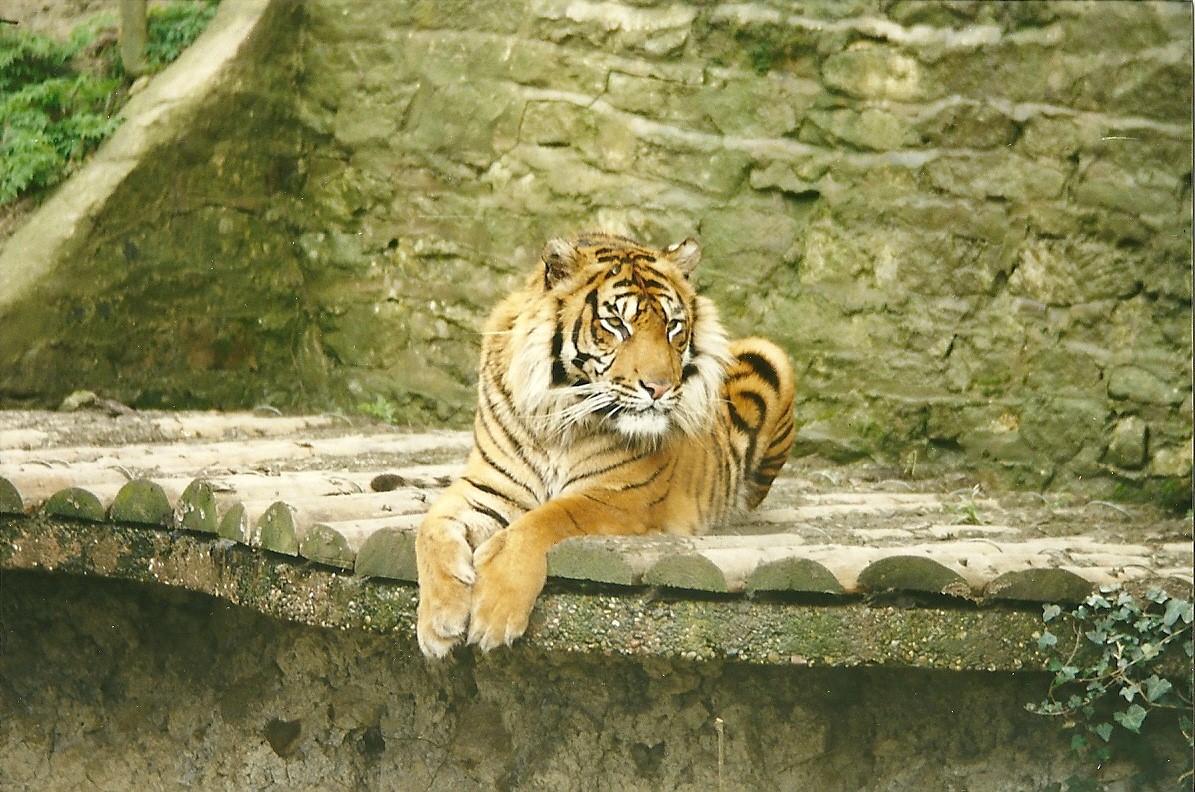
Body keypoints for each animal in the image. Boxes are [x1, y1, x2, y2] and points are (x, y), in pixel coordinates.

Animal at [415, 231, 795, 658]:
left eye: (673, 326)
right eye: (616, 323)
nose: (660, 388)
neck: (558, 416)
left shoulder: (621, 496)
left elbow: (546, 520)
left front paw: (493, 613)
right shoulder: (489, 485)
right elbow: (429, 528)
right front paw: (439, 621)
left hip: (770, 356)